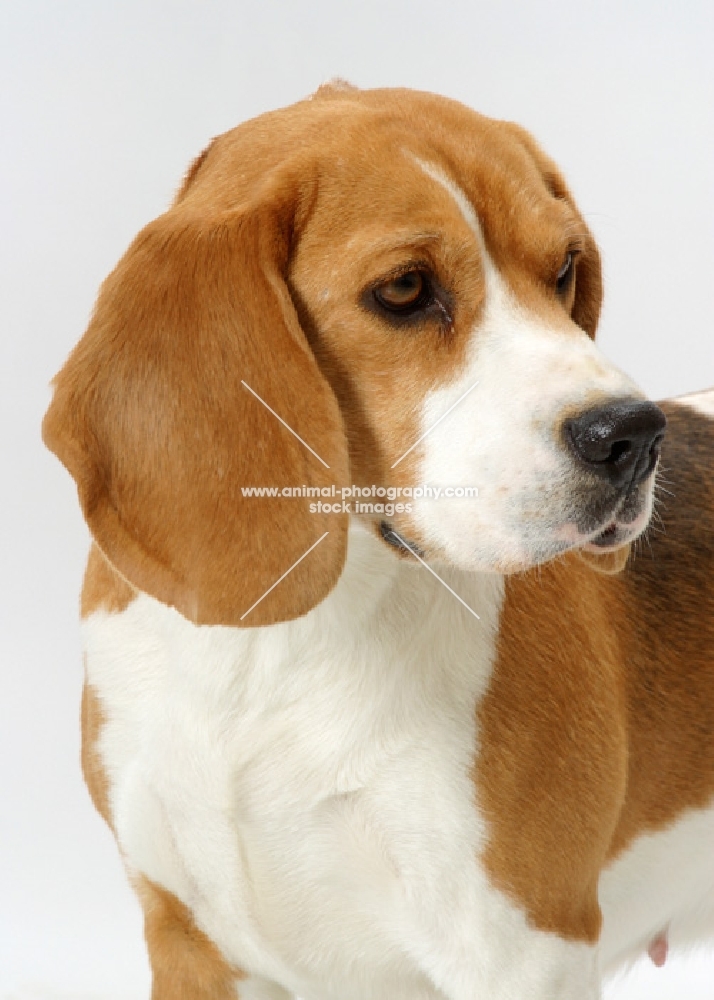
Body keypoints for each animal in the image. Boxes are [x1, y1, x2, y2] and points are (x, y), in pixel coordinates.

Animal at [44, 86, 712, 1000]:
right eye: (403, 290)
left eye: (565, 269)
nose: (633, 437)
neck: (280, 650)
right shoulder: (188, 945)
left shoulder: (518, 956)